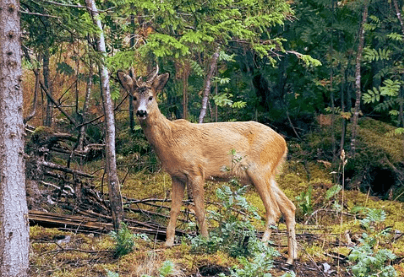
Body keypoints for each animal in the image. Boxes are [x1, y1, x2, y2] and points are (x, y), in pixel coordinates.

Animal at [117, 65, 296, 264]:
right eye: (133, 97)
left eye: (151, 97)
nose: (141, 112)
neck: (171, 140)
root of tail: (283, 143)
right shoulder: (176, 176)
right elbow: (174, 209)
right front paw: (169, 242)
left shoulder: (196, 171)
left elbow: (200, 210)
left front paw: (205, 241)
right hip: (268, 173)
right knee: (289, 207)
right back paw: (291, 258)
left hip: (259, 170)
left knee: (273, 210)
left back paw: (260, 250)